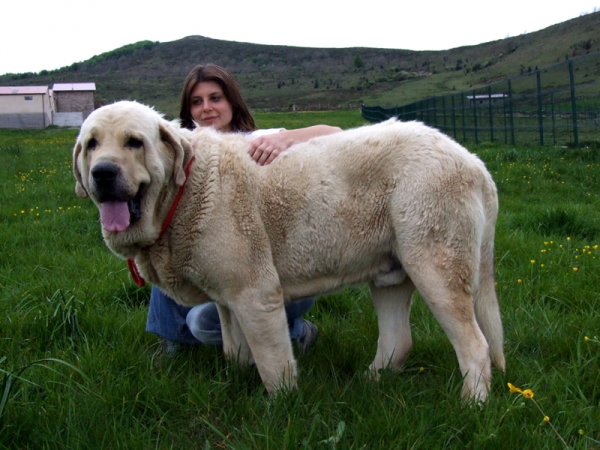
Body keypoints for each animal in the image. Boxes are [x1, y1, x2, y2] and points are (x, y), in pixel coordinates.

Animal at [75, 101, 506, 400]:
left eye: (134, 142)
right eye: (91, 145)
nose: (103, 173)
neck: (184, 189)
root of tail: (474, 162)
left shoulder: (255, 293)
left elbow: (273, 362)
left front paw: (280, 405)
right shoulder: (228, 299)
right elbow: (235, 352)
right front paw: (236, 384)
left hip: (435, 266)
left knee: (476, 345)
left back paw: (472, 405)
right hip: (391, 274)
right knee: (399, 341)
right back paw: (368, 382)